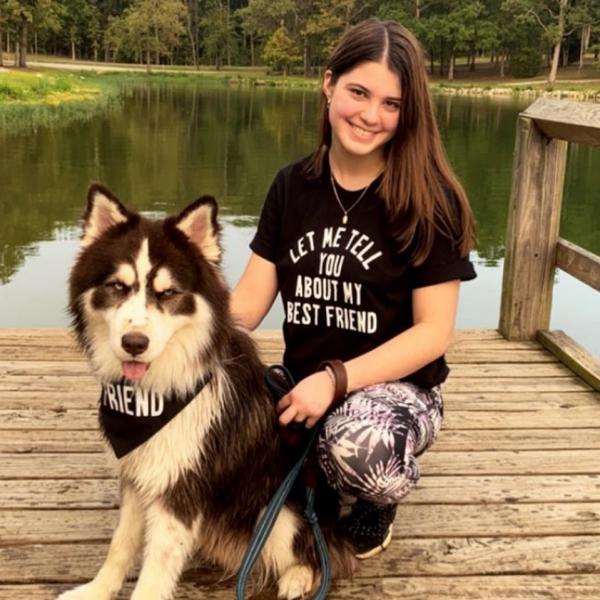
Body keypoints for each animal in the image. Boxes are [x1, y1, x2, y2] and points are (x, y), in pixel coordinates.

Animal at [58, 185, 354, 600]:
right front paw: (96, 590)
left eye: (168, 293)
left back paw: (298, 577)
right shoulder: (139, 474)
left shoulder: (181, 487)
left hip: (279, 512)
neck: (158, 393)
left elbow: (154, 570)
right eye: (117, 287)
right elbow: (120, 545)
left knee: (319, 552)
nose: (134, 343)